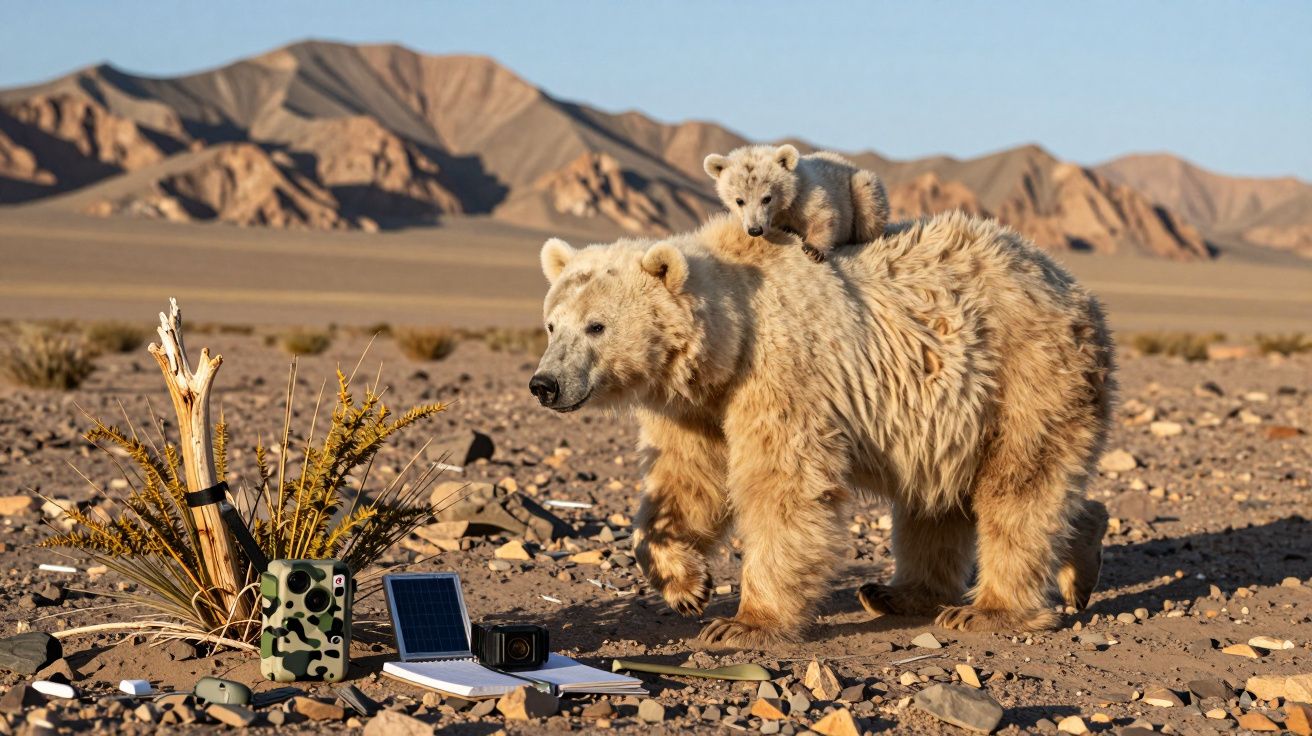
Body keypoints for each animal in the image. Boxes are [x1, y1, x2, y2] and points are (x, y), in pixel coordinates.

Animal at [530, 210, 1115, 648]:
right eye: (552, 324)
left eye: (596, 326)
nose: (545, 384)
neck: (730, 339)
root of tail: (1074, 288)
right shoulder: (697, 408)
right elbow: (685, 482)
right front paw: (686, 585)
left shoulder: (785, 372)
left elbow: (783, 486)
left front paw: (742, 623)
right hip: (950, 417)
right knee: (936, 501)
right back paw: (905, 591)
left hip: (1024, 375)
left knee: (1018, 487)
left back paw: (989, 608)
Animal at [703, 143, 889, 263]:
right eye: (739, 200)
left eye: (767, 198)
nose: (755, 230)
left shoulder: (806, 193)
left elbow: (824, 214)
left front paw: (813, 250)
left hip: (860, 186)